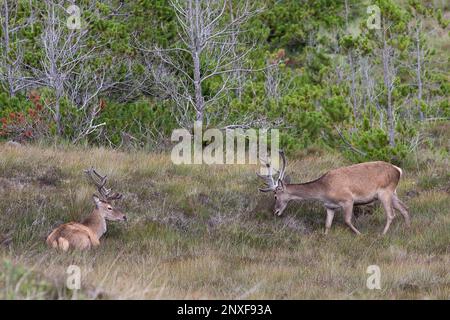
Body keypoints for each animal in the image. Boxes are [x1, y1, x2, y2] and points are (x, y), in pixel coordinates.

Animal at [256, 150, 412, 235]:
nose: (275, 211)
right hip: (393, 193)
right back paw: (407, 229)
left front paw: (360, 234)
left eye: (275, 196)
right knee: (405, 208)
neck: (323, 190)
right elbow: (327, 225)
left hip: (385, 192)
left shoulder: (348, 200)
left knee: (391, 214)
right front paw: (324, 237)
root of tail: (398, 170)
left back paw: (382, 234)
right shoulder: (329, 206)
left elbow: (347, 220)